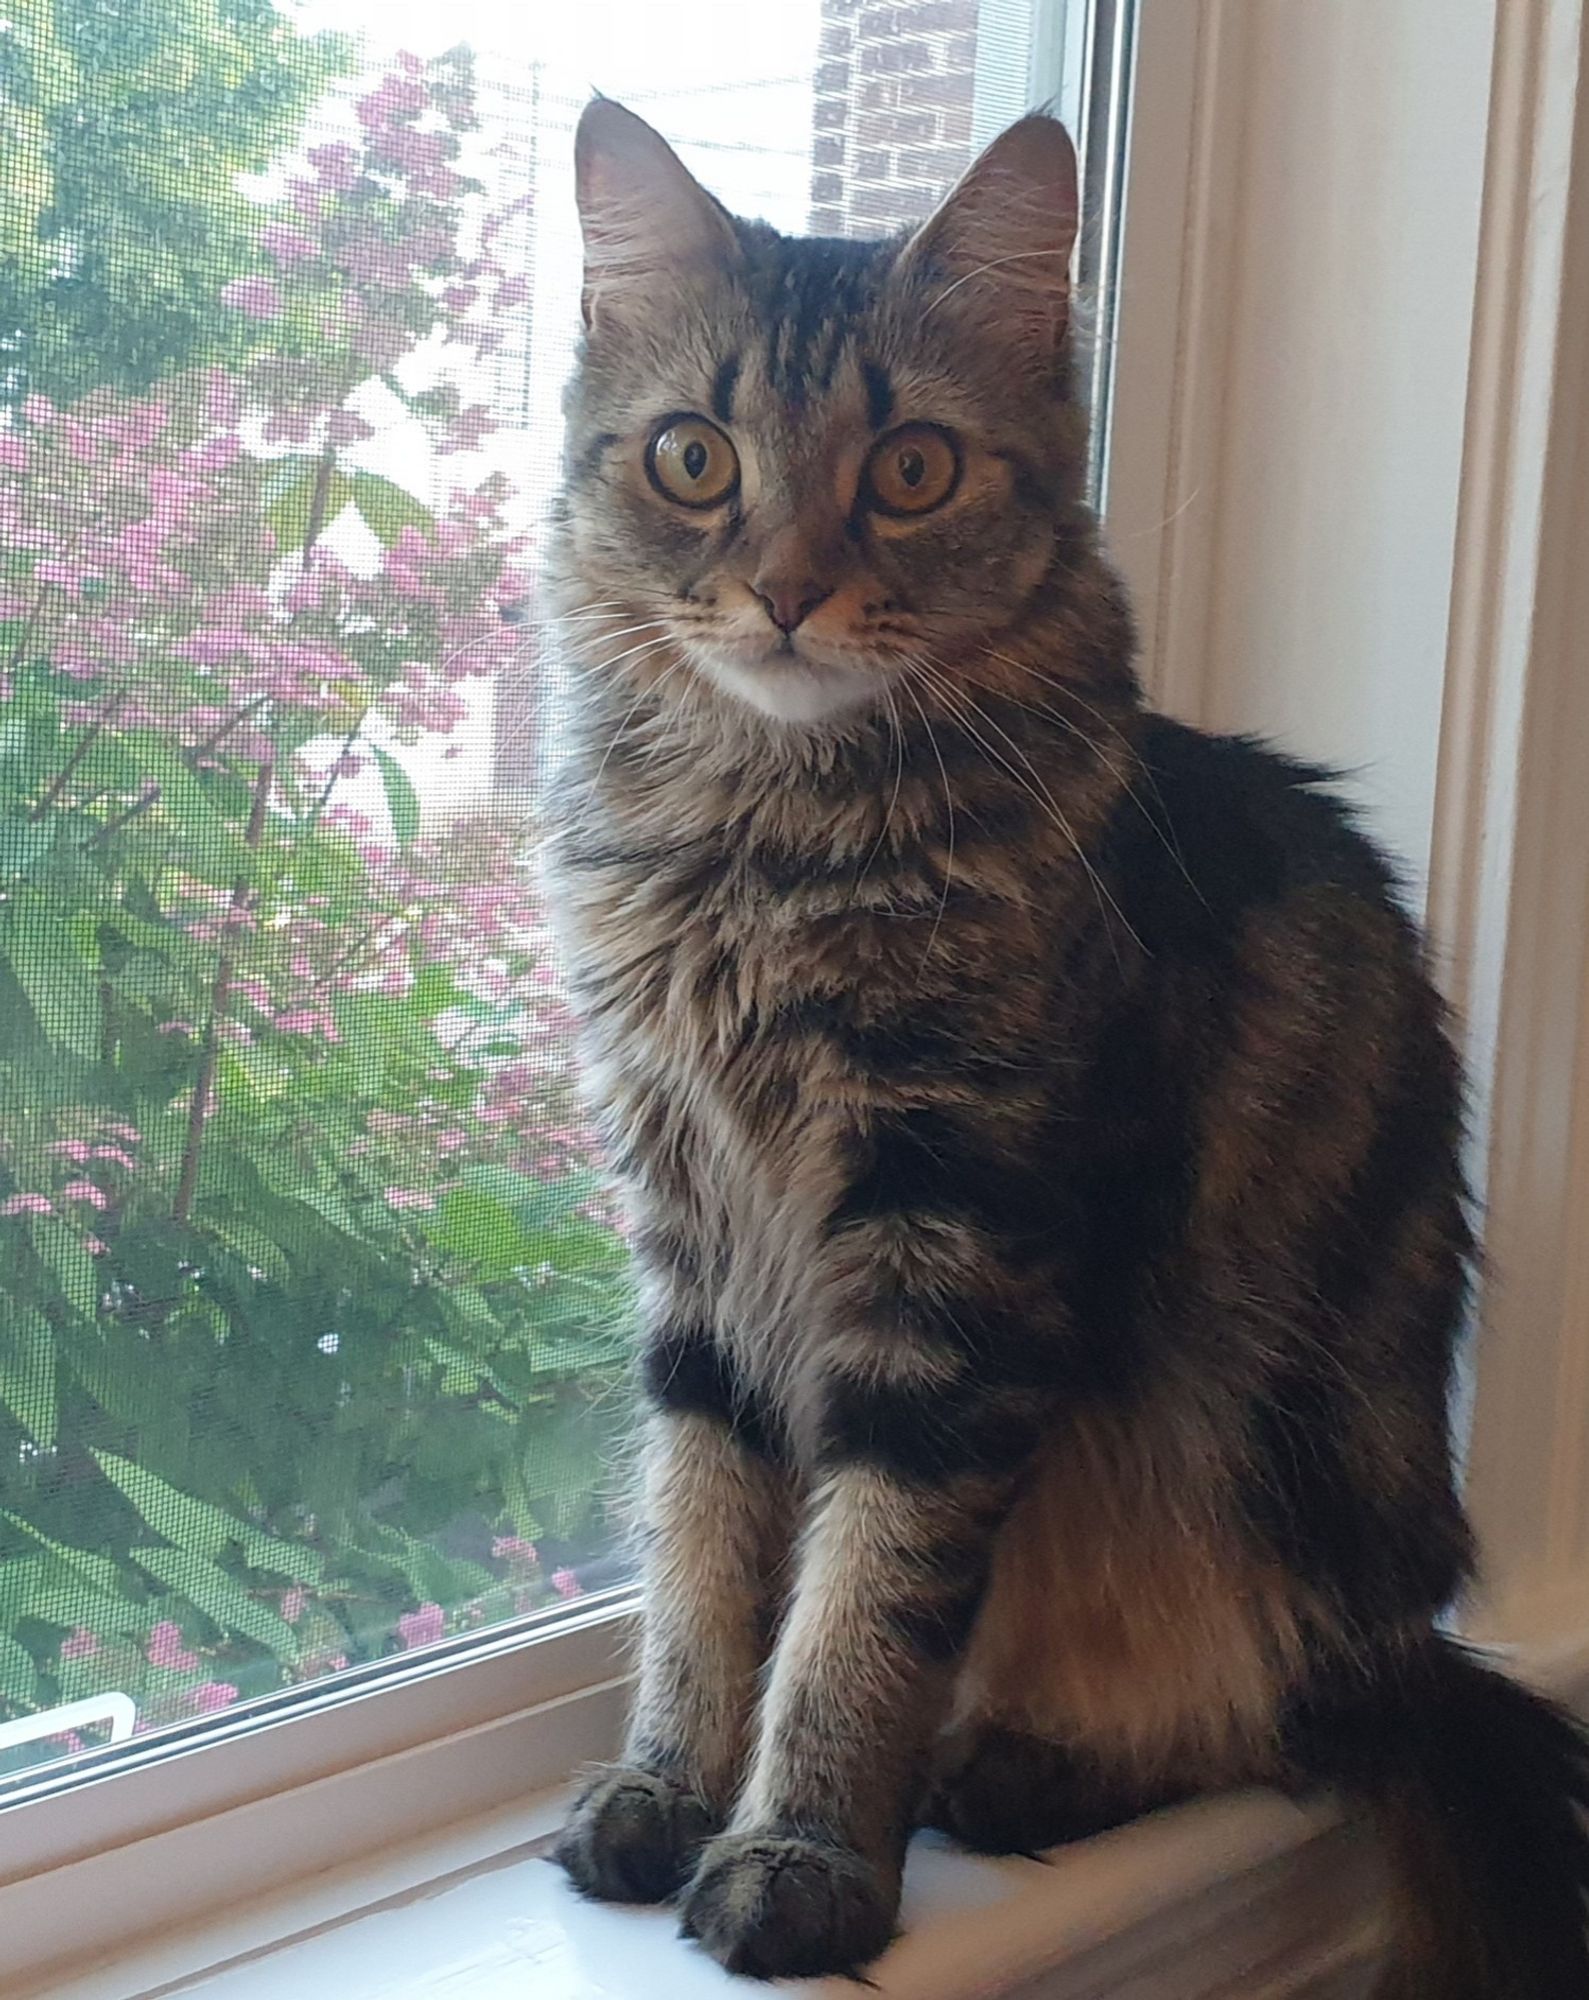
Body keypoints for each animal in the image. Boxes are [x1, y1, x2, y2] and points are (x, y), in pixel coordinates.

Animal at [544, 97, 1584, 2000]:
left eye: (909, 473)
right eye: (691, 461)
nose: (786, 594)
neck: (760, 856)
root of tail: (1416, 1633)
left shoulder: (956, 1251)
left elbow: (862, 1599)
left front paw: (801, 1854)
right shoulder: (693, 1242)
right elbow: (702, 1550)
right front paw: (665, 1787)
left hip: (1245, 1460)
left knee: (1271, 1718)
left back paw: (1024, 1771)